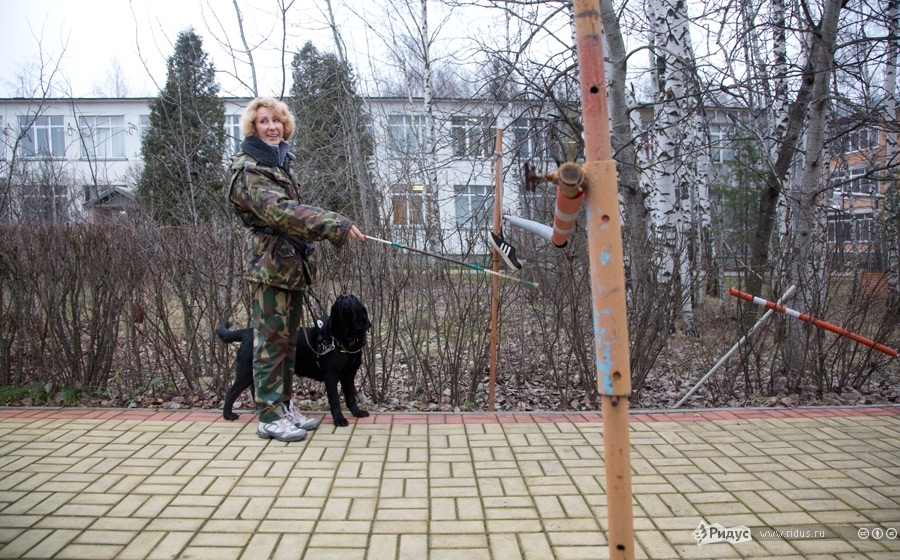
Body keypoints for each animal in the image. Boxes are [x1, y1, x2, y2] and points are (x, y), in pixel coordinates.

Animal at [216, 296, 370, 426]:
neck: (344, 339)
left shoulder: (348, 376)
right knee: (231, 392)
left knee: (256, 389)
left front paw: (357, 412)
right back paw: (228, 415)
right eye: (337, 300)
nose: (343, 298)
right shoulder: (331, 376)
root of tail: (246, 332)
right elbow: (335, 400)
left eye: (354, 298)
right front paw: (339, 419)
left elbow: (351, 396)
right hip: (245, 371)